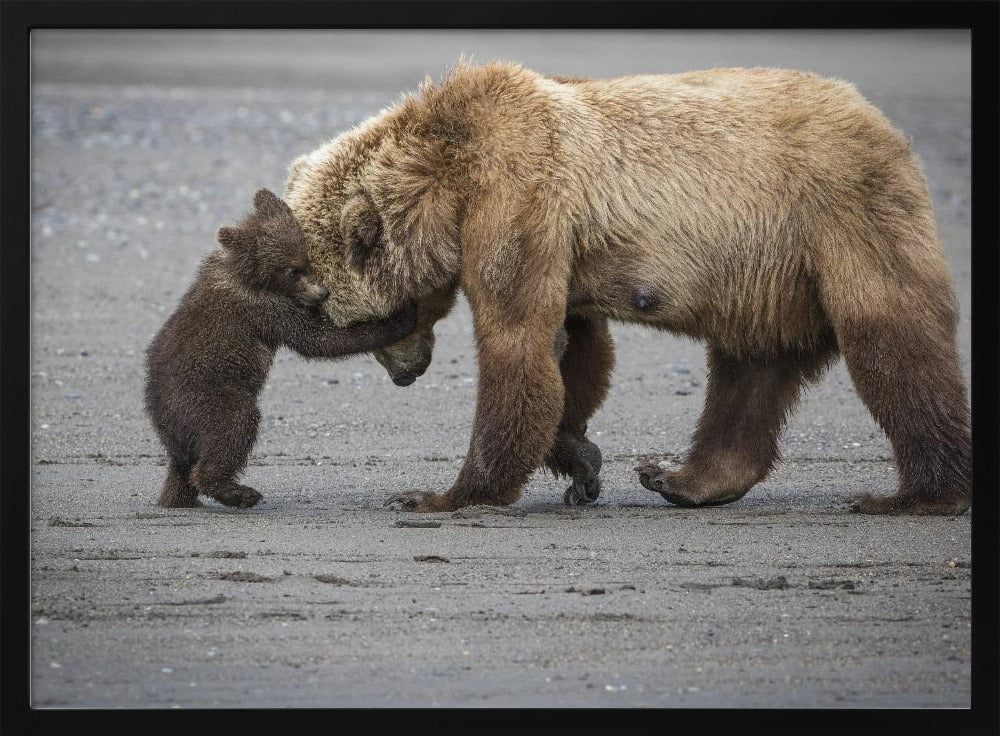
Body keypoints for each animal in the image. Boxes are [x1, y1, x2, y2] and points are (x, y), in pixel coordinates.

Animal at [144, 188, 417, 509]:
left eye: (306, 260)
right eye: (292, 270)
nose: (322, 292)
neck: (249, 276)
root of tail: (163, 421)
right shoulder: (265, 309)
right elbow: (317, 339)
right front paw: (401, 316)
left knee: (182, 469)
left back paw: (181, 498)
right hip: (206, 397)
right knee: (234, 427)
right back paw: (238, 492)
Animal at [283, 62, 972, 516]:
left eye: (349, 319)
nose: (405, 374)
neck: (447, 179)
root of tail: (883, 124)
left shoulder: (517, 199)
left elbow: (517, 345)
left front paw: (444, 494)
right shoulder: (558, 239)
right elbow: (574, 349)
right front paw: (580, 461)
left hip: (839, 216)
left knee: (892, 340)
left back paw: (919, 494)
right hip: (765, 276)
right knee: (750, 369)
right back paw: (684, 478)